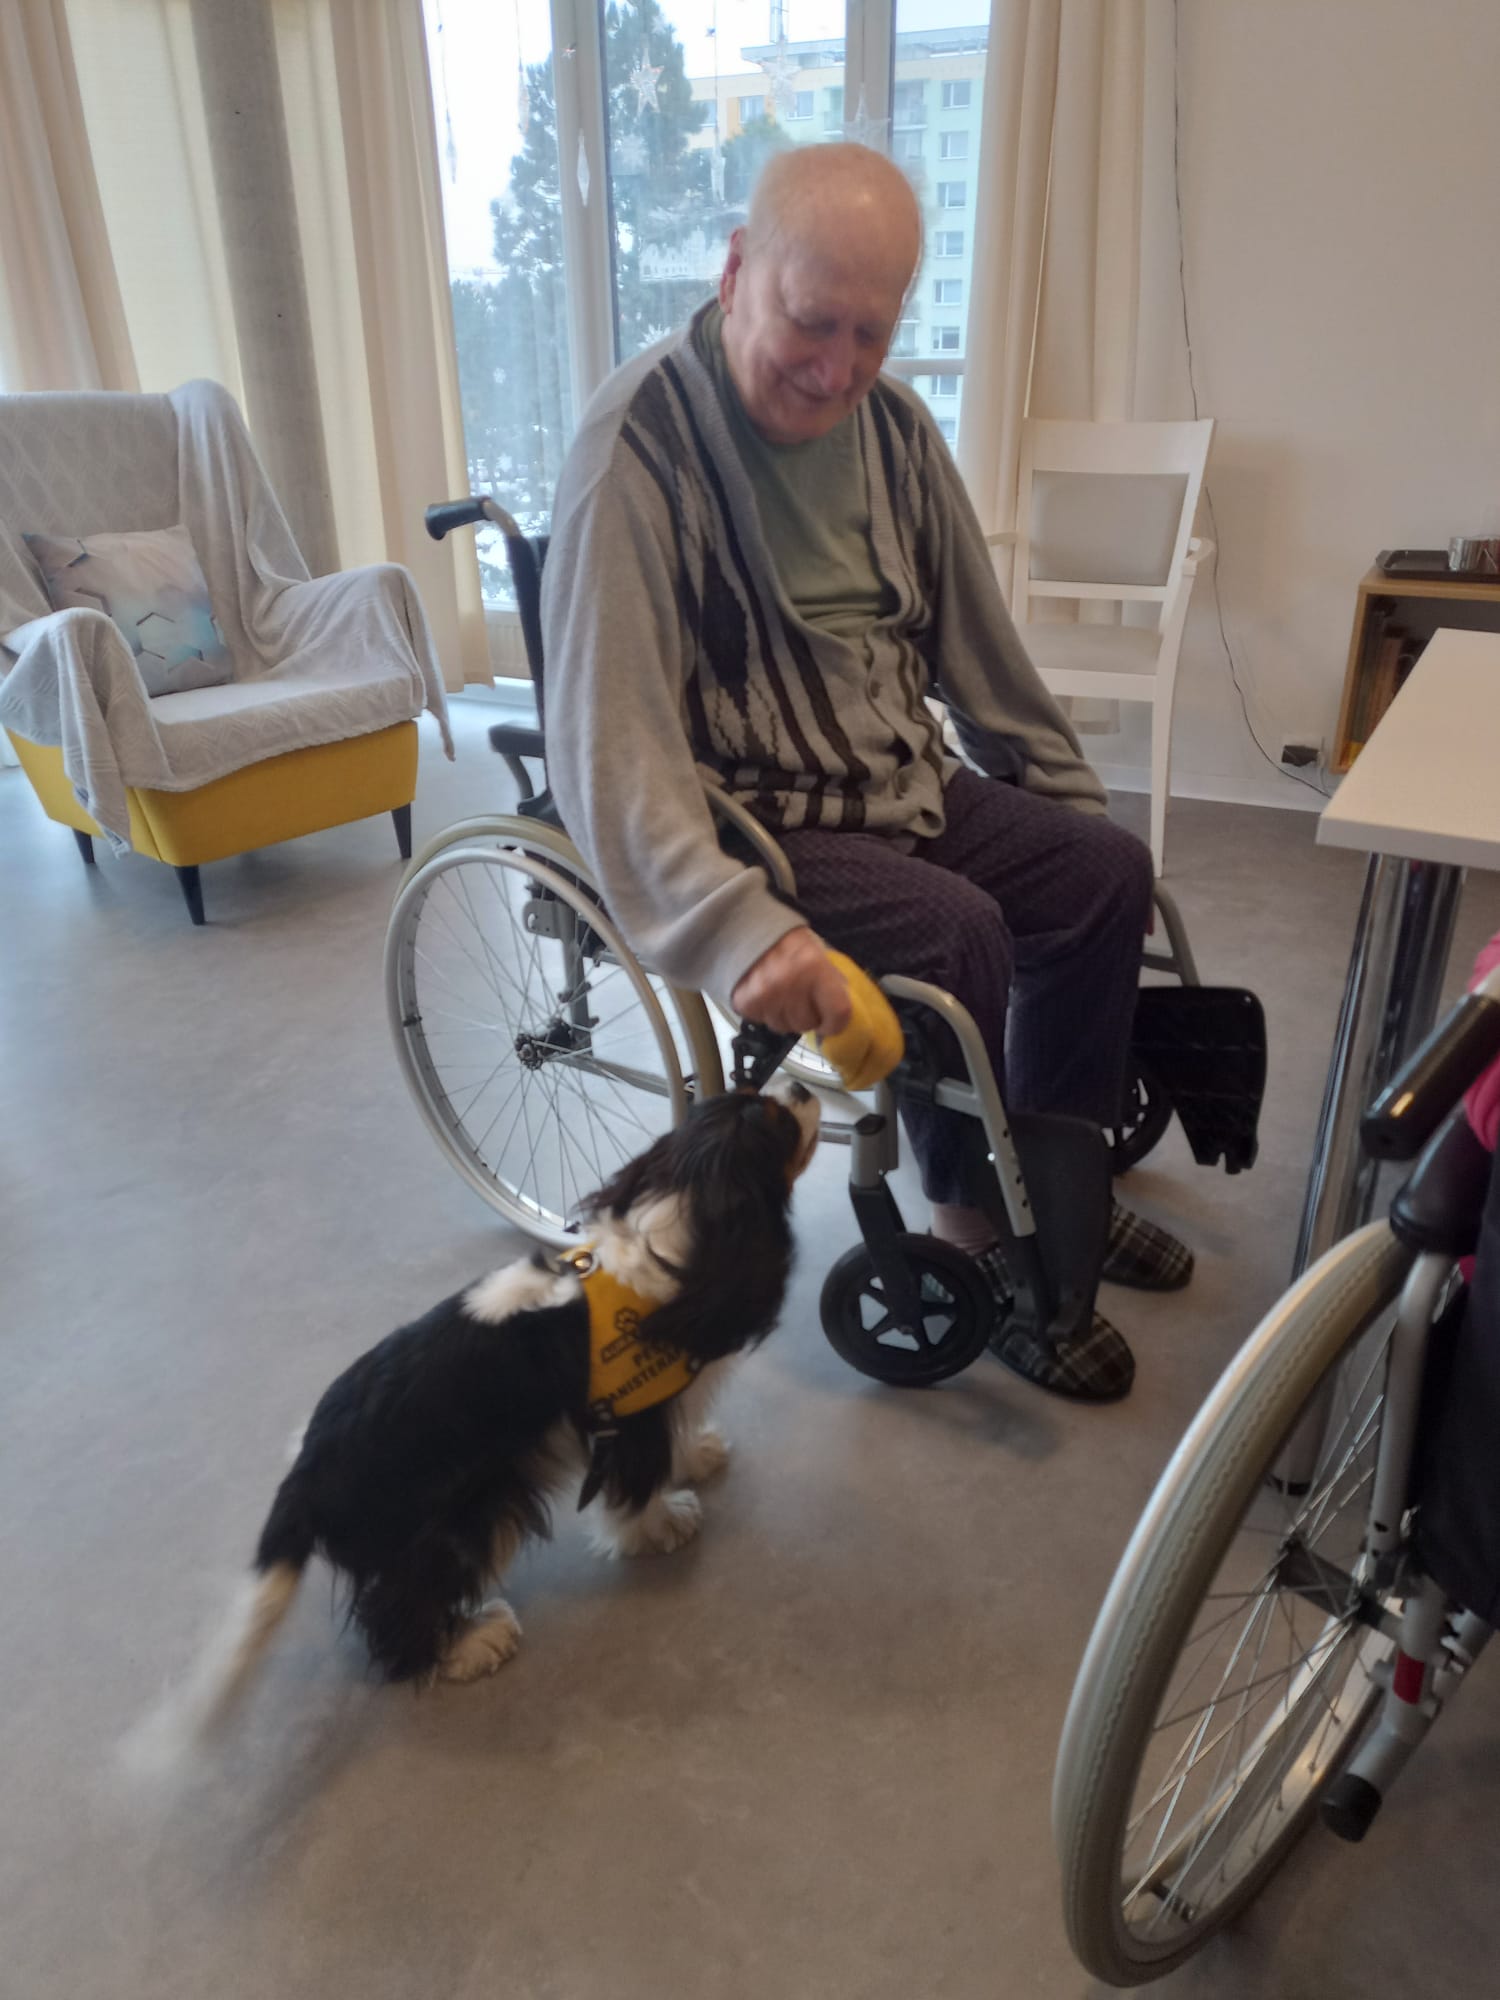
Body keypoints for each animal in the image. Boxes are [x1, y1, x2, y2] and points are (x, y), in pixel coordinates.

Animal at [151, 1080, 820, 1740]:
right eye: (776, 1120)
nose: (801, 1084)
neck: (675, 1237)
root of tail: (305, 1475)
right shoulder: (628, 1419)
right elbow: (637, 1488)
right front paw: (661, 1525)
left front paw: (696, 1454)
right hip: (457, 1520)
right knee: (399, 1615)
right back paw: (470, 1644)